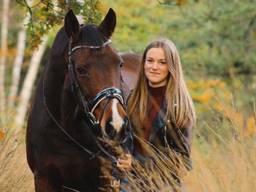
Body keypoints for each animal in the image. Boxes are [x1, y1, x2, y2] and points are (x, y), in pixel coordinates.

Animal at [26, 9, 133, 192]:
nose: (116, 125)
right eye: (80, 69)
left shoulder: (106, 181)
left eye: (119, 64)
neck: (65, 130)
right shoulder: (43, 179)